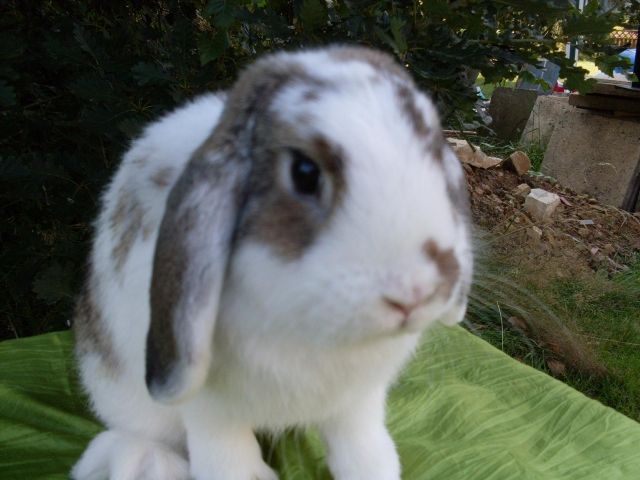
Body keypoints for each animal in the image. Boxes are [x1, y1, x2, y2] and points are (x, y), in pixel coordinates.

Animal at [71, 45, 473, 480]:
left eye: (436, 153)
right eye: (304, 173)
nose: (415, 292)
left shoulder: (357, 401)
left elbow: (361, 446)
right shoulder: (210, 410)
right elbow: (228, 458)